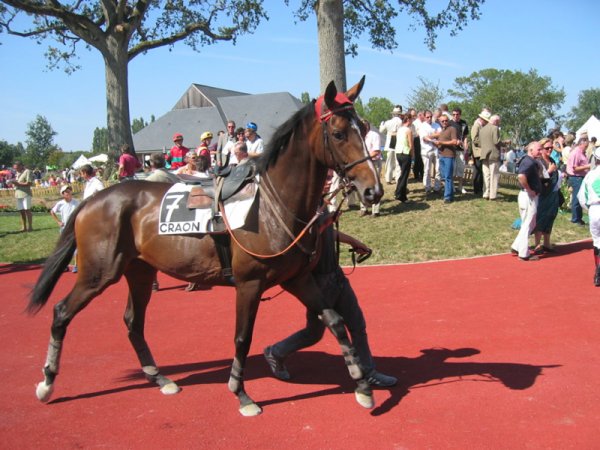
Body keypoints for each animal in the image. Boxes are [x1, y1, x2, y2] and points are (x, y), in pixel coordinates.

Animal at [28, 76, 382, 414]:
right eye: (338, 133)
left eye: (364, 128)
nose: (373, 191)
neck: (271, 204)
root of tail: (92, 200)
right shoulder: (249, 284)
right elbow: (242, 337)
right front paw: (241, 393)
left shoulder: (297, 278)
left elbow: (336, 323)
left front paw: (362, 387)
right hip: (98, 273)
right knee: (61, 313)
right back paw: (46, 383)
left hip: (139, 271)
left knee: (133, 322)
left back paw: (159, 377)